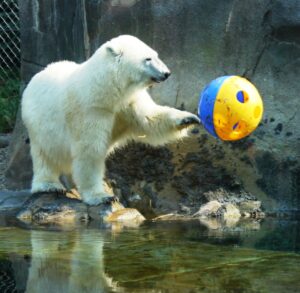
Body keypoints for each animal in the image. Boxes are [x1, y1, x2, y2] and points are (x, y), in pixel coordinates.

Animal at [22, 34, 200, 204]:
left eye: (156, 55)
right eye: (148, 58)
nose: (167, 73)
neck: (106, 89)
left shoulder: (128, 101)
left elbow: (150, 118)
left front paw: (189, 118)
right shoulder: (91, 110)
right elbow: (90, 150)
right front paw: (101, 196)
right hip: (39, 123)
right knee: (45, 155)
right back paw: (49, 185)